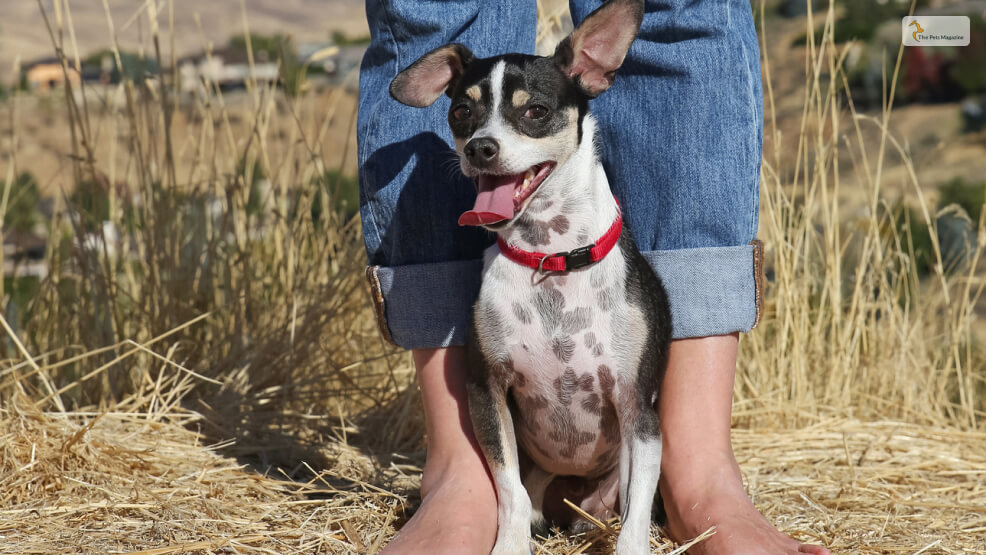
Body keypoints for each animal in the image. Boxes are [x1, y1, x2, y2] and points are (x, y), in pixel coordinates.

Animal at [386, 2, 668, 552]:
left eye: (535, 111)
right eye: (461, 111)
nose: (480, 148)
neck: (550, 259)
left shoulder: (639, 410)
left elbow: (635, 514)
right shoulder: (488, 391)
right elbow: (510, 490)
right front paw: (511, 543)